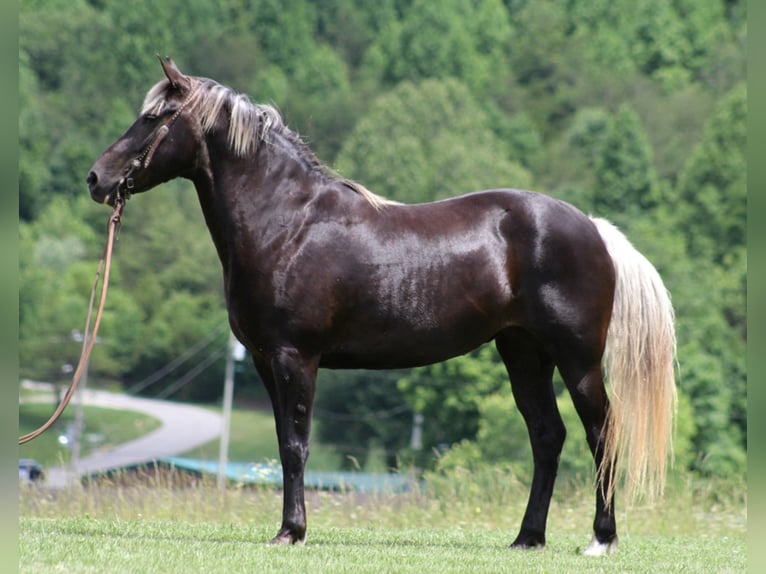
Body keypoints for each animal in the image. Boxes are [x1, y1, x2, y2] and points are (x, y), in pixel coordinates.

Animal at [88, 56, 680, 556]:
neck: (287, 221)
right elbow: (283, 444)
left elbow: (296, 446)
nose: (97, 178)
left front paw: (292, 532)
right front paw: (289, 527)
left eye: (154, 117)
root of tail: (593, 229)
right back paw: (527, 538)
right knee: (547, 436)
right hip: (522, 353)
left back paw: (601, 539)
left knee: (601, 435)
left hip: (577, 360)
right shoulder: (262, 360)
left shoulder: (294, 357)